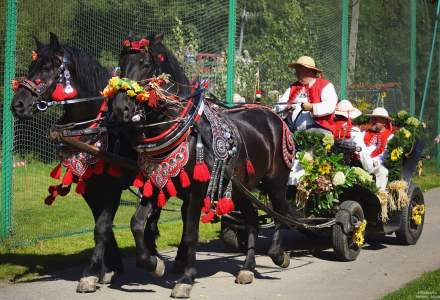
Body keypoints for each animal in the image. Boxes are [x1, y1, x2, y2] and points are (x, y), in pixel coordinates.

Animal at [11, 33, 141, 292]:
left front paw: (90, 274)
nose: (17, 105)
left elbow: (102, 227)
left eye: (47, 67)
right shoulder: (90, 186)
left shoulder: (111, 187)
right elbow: (101, 225)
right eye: (31, 66)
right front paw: (108, 268)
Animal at [111, 32, 296, 298]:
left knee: (280, 214)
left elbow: (190, 234)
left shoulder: (196, 191)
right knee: (252, 219)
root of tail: (275, 117)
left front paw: (186, 278)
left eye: (145, 64)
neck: (183, 128)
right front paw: (153, 264)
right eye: (121, 63)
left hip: (276, 183)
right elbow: (136, 224)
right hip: (239, 189)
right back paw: (247, 268)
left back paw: (278, 255)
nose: (120, 108)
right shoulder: (156, 183)